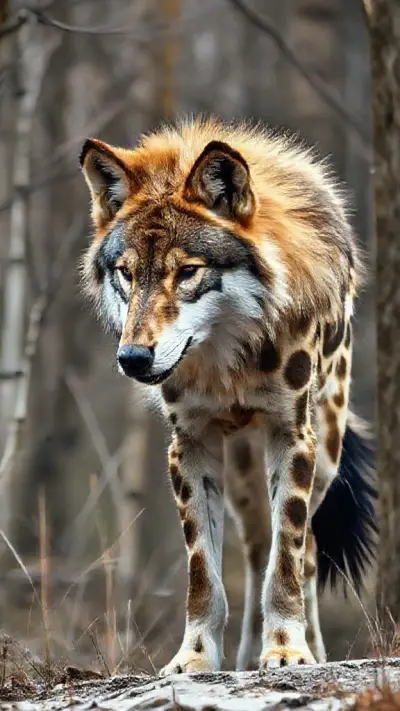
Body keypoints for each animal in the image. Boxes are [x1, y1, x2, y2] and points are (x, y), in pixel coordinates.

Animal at [79, 117, 377, 674]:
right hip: (242, 473)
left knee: (303, 549)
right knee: (258, 547)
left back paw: (308, 648)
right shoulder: (190, 445)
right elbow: (204, 576)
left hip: (325, 450)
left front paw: (287, 650)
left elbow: (286, 563)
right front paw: (194, 659)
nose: (133, 358)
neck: (227, 362)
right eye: (127, 273)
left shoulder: (291, 436)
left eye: (187, 272)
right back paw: (244, 659)